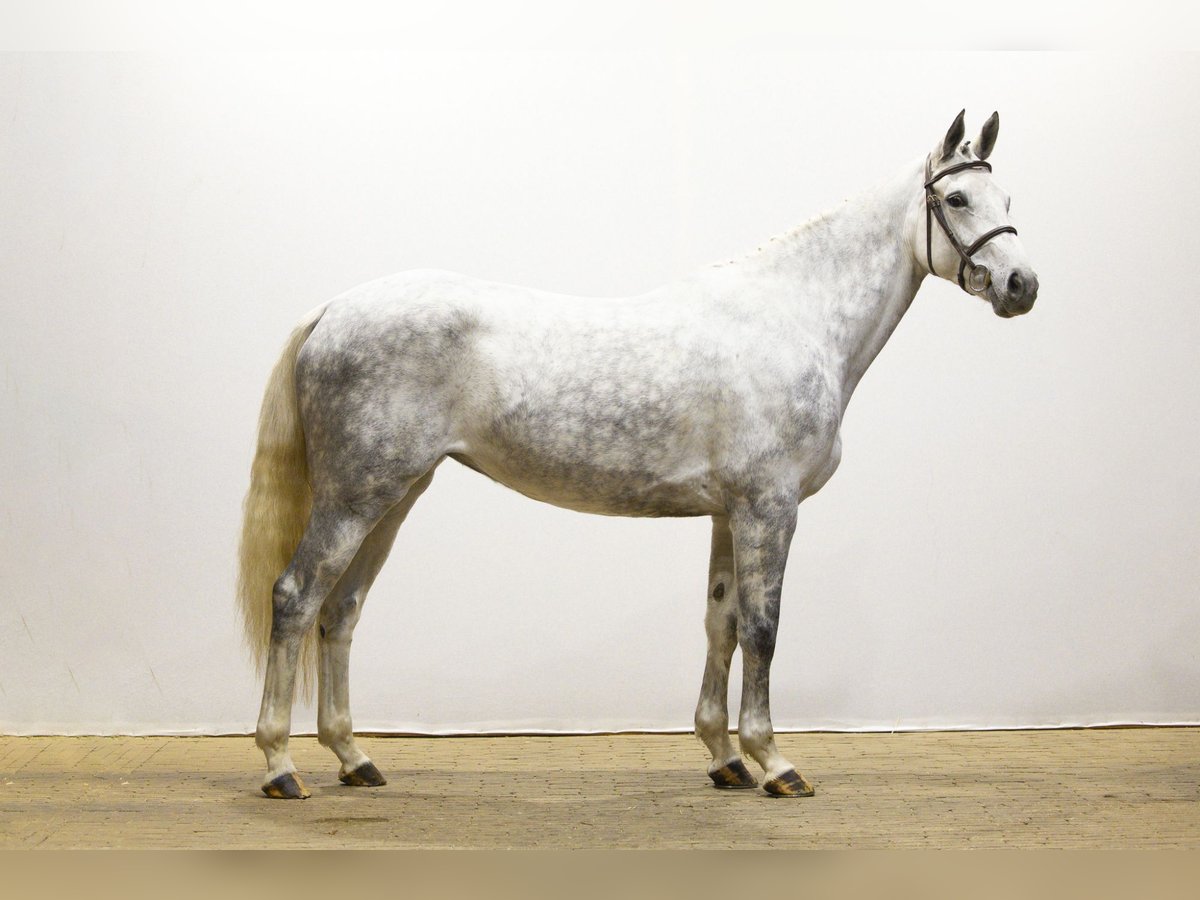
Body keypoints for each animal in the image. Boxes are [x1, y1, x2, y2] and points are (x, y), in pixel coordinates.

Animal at [238, 110, 1039, 799]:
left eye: (1006, 197)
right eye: (957, 197)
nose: (1021, 285)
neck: (794, 318)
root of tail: (332, 310)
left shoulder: (728, 513)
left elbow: (721, 623)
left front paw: (723, 759)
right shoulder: (769, 506)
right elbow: (764, 628)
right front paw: (774, 762)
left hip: (396, 496)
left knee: (340, 611)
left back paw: (354, 758)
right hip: (356, 496)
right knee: (297, 596)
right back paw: (280, 767)